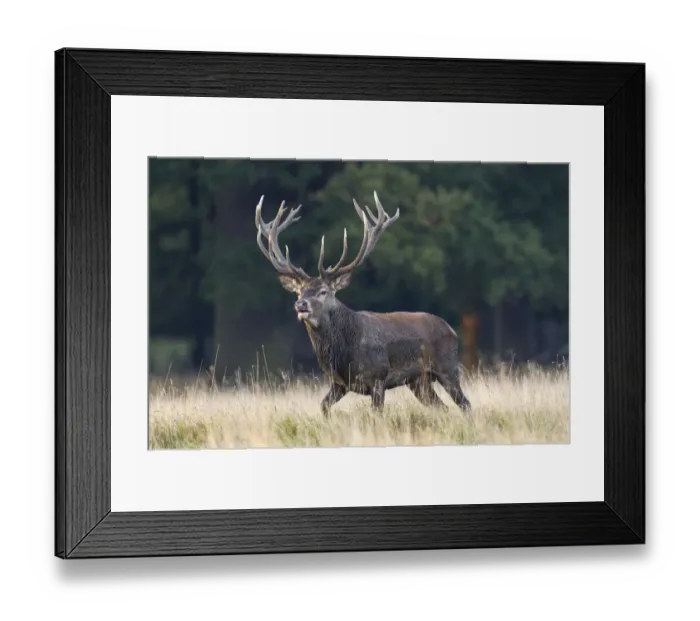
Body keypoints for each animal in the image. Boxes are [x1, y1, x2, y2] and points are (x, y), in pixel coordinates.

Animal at [254, 191, 472, 418]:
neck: (343, 353)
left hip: (447, 367)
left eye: (324, 292)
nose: (301, 305)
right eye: (299, 291)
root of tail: (451, 329)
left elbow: (377, 414)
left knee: (465, 404)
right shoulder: (339, 383)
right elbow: (323, 406)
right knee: (443, 407)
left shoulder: (378, 377)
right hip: (418, 380)